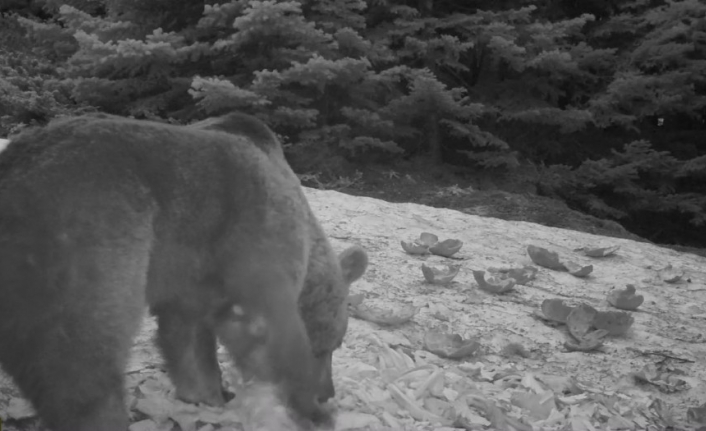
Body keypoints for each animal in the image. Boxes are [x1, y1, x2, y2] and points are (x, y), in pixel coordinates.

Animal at [0, 114, 366, 431]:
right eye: (332, 346)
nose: (328, 391)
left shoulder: (192, 271)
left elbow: (186, 337)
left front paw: (208, 392)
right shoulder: (256, 238)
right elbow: (261, 328)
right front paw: (311, 408)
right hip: (87, 244)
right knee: (81, 364)